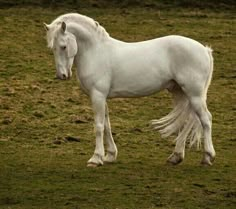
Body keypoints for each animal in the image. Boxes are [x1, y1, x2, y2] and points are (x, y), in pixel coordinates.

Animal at [43, 12, 216, 167]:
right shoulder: (102, 97)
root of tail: (205, 50)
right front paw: (110, 155)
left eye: (63, 46)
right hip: (181, 92)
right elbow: (107, 125)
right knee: (187, 120)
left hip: (194, 94)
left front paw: (96, 158)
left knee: (205, 119)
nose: (62, 75)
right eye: (52, 48)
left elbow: (98, 126)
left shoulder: (97, 96)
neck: (96, 52)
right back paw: (176, 156)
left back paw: (208, 157)